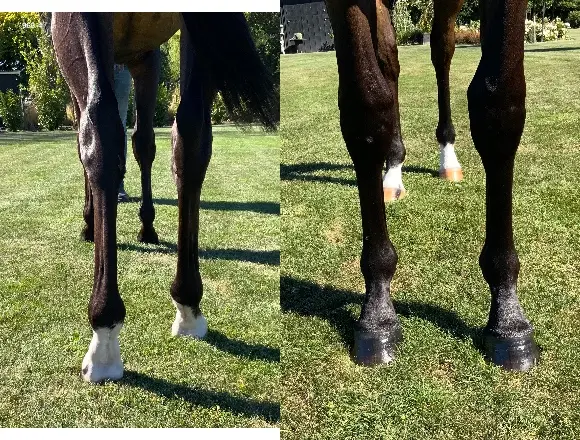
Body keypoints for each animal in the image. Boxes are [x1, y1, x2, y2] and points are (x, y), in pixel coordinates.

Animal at [50, 12, 278, 383]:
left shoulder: (143, 57)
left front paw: (92, 222)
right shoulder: (147, 55)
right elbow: (145, 142)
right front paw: (144, 225)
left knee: (99, 126)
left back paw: (104, 340)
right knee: (191, 131)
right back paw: (187, 307)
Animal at [325, 0, 539, 371]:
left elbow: (499, 101)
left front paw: (508, 317)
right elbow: (366, 106)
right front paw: (377, 310)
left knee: (442, 48)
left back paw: (447, 158)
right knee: (389, 61)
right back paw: (393, 169)